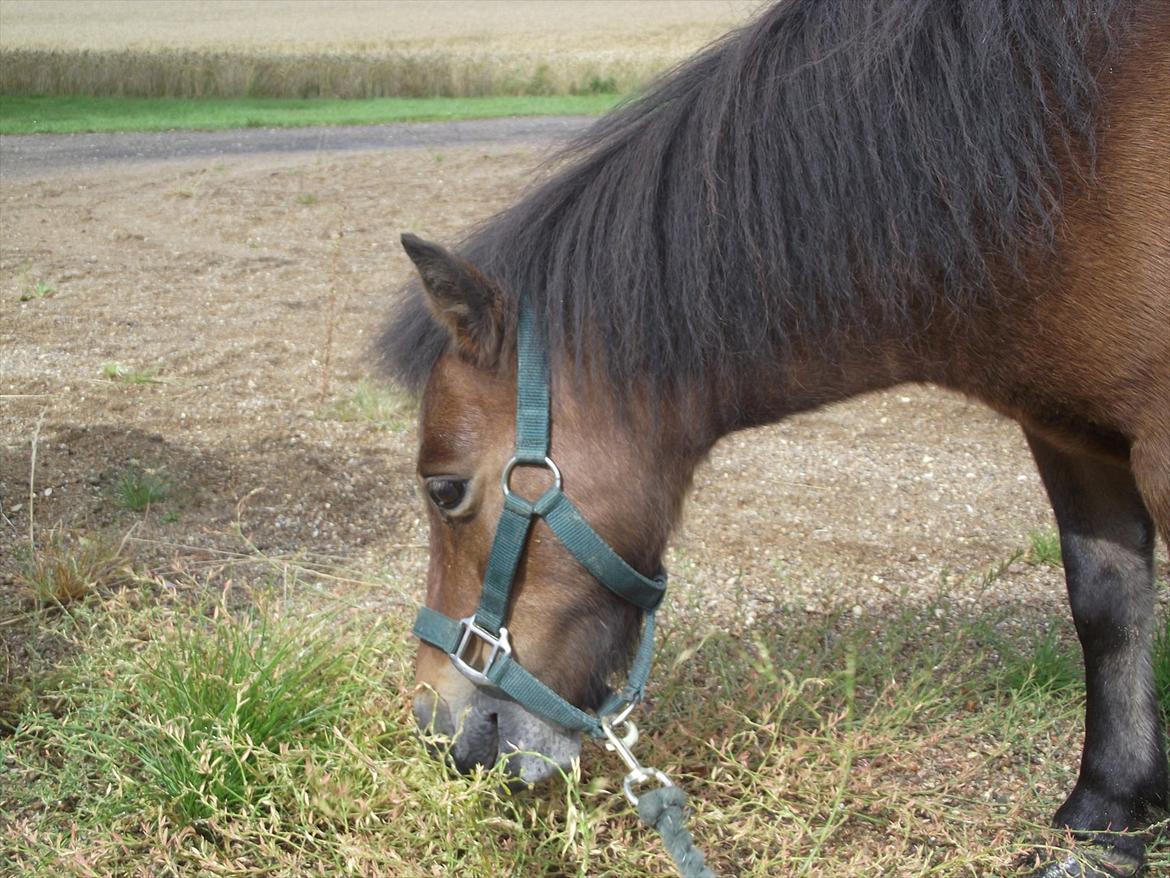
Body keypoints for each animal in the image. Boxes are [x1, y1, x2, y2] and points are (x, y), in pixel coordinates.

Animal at [379, 3, 1165, 875]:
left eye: (443, 489)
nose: (437, 730)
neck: (1064, 163)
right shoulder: (1069, 436)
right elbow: (1107, 603)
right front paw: (1106, 816)